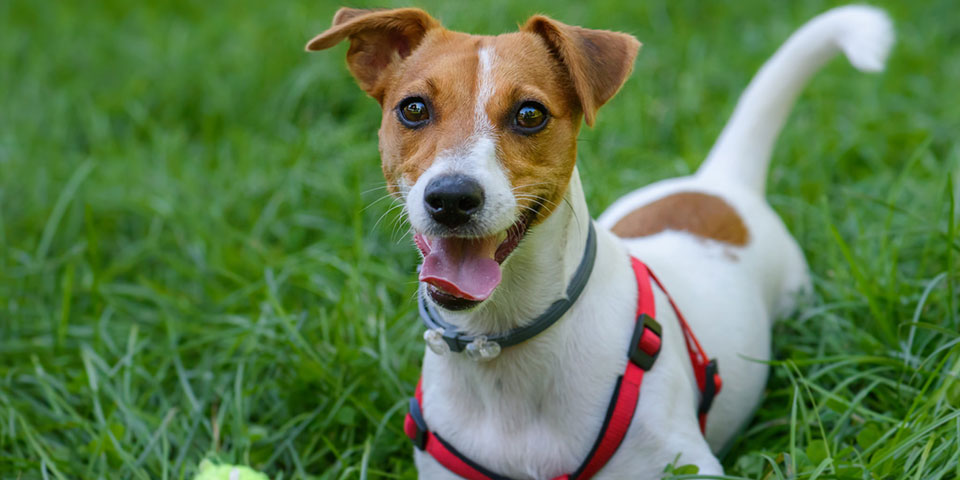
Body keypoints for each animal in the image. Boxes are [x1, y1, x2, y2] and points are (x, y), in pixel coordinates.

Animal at [306, 5, 892, 478]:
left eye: (530, 114)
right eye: (413, 109)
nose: (451, 197)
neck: (501, 340)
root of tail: (719, 182)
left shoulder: (684, 464)